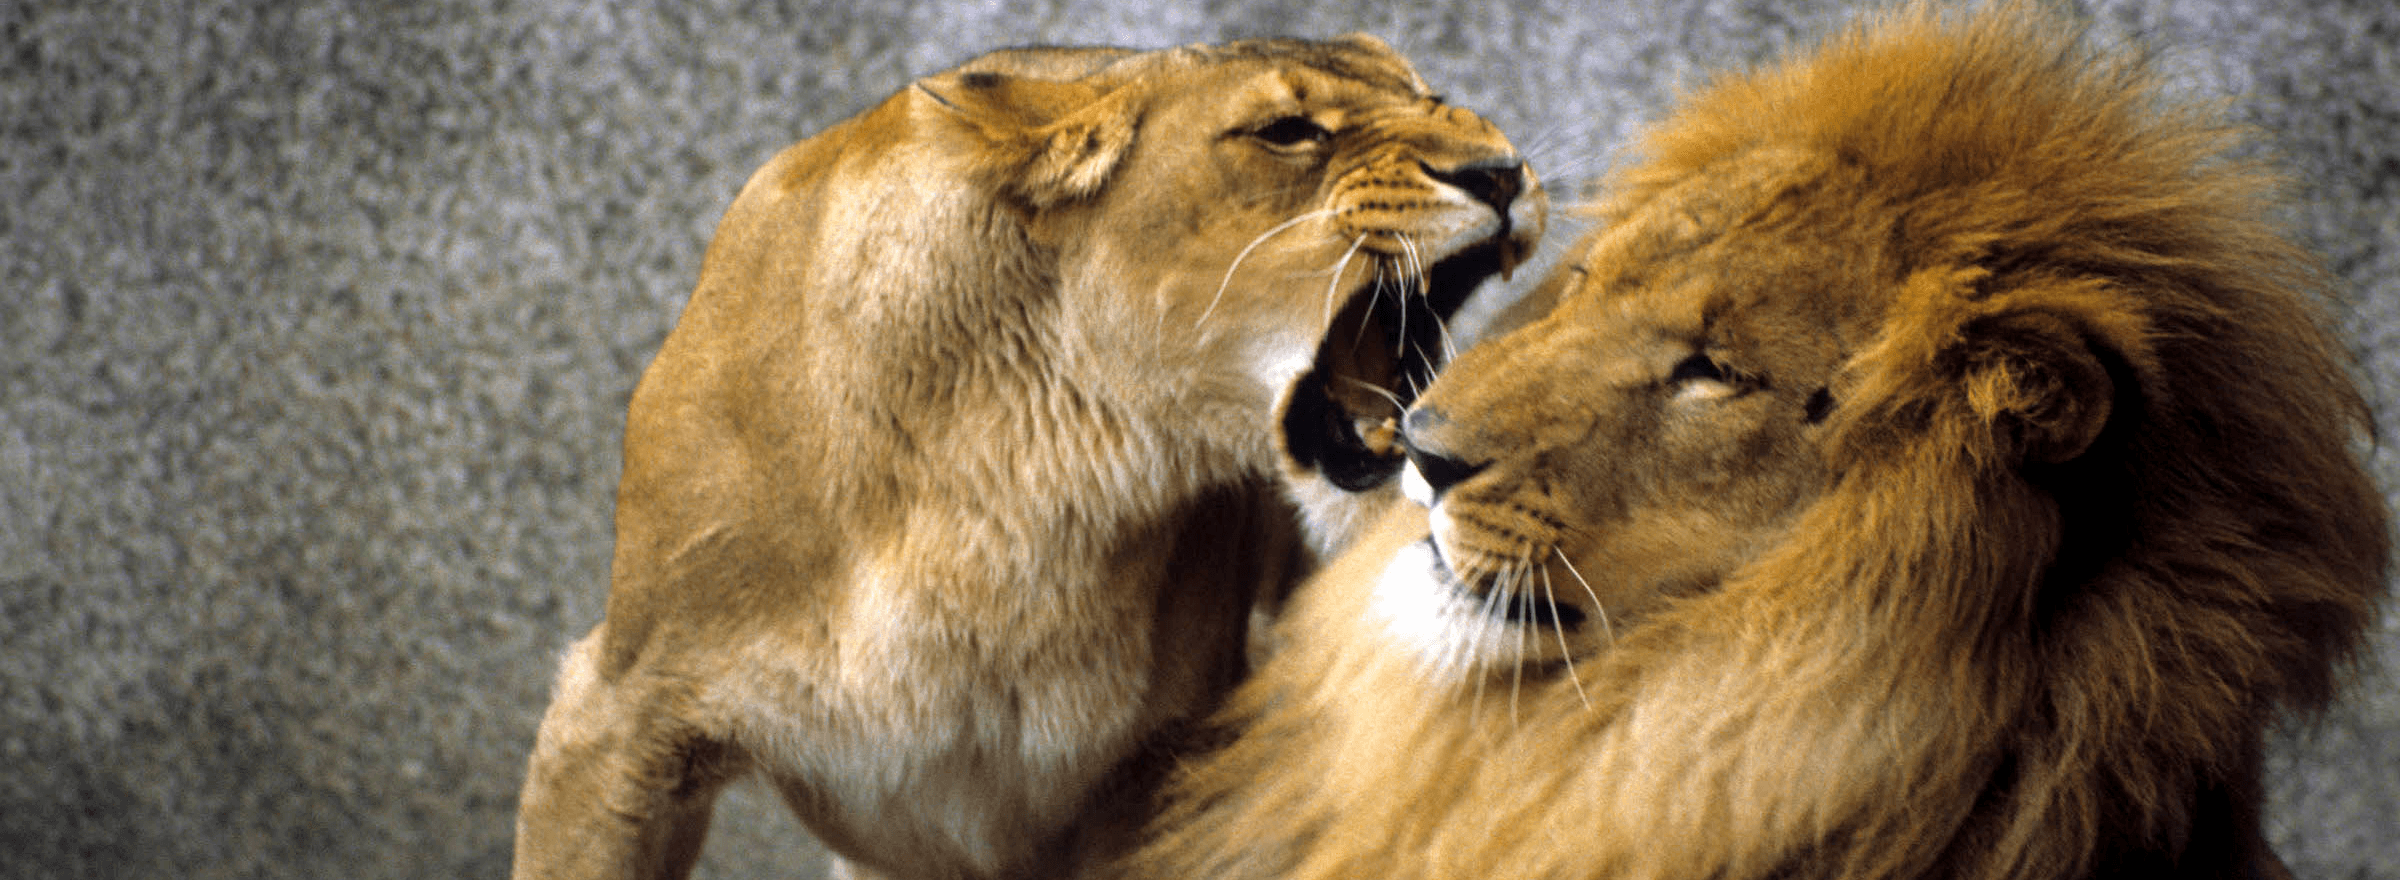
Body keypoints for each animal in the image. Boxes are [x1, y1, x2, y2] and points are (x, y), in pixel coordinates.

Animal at [510, 34, 1545, 880]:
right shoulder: (618, 716)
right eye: (1288, 131)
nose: (1502, 173)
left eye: (1435, 96)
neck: (1027, 464)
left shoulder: (1153, 775)